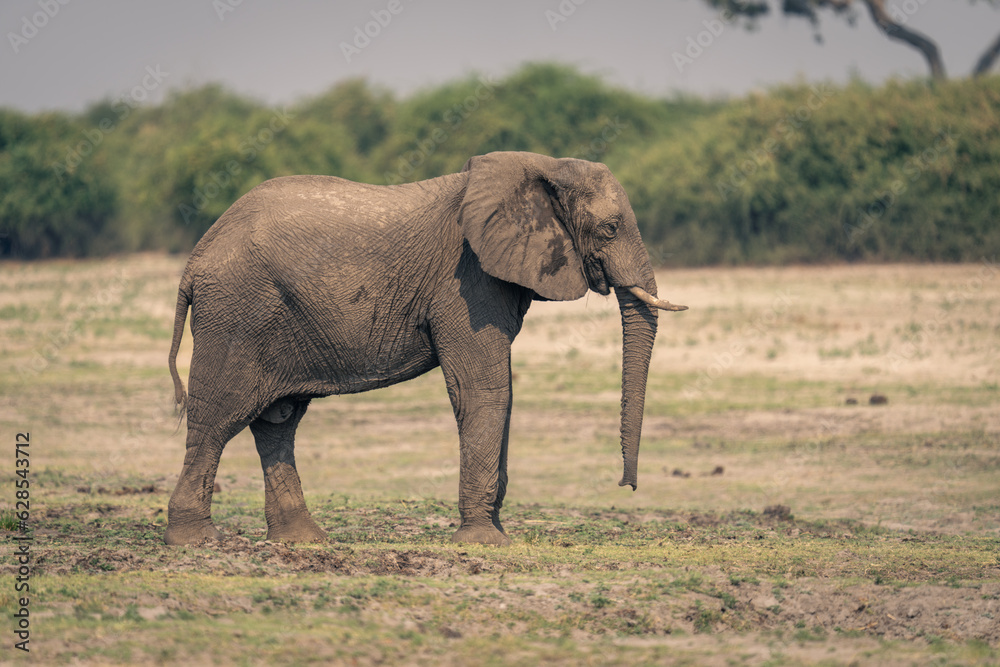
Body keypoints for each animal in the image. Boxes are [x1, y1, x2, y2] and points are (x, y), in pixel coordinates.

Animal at [166, 151, 688, 548]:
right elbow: (485, 389)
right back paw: (195, 541)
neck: (543, 166)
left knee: (278, 421)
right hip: (236, 313)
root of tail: (196, 258)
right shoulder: (465, 281)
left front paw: (495, 534)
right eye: (610, 228)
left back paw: (303, 540)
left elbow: (502, 393)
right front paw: (485, 542)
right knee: (217, 417)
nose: (626, 484)